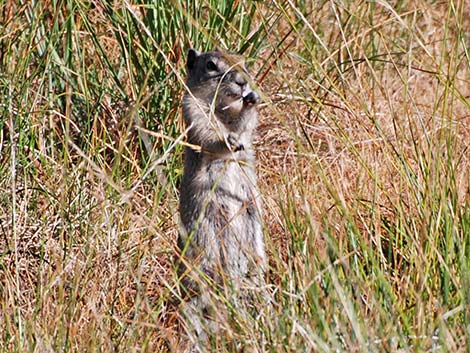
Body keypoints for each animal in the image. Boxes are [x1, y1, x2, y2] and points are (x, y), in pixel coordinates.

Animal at [176, 48, 266, 346]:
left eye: (244, 62)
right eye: (211, 65)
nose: (242, 82)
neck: (223, 106)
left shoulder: (243, 126)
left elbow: (245, 125)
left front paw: (252, 100)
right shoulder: (193, 111)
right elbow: (209, 133)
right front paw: (228, 140)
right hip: (205, 232)